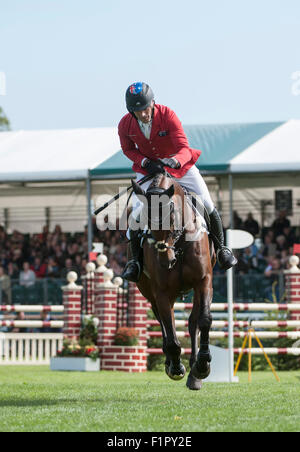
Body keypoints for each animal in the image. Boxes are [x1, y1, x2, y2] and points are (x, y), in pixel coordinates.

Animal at [131, 173, 216, 392]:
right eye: (144, 220)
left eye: (171, 216)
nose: (165, 260)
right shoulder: (161, 292)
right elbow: (169, 330)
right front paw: (176, 366)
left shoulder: (204, 281)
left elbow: (204, 320)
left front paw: (203, 364)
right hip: (150, 292)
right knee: (163, 323)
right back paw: (172, 362)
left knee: (193, 322)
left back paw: (195, 372)